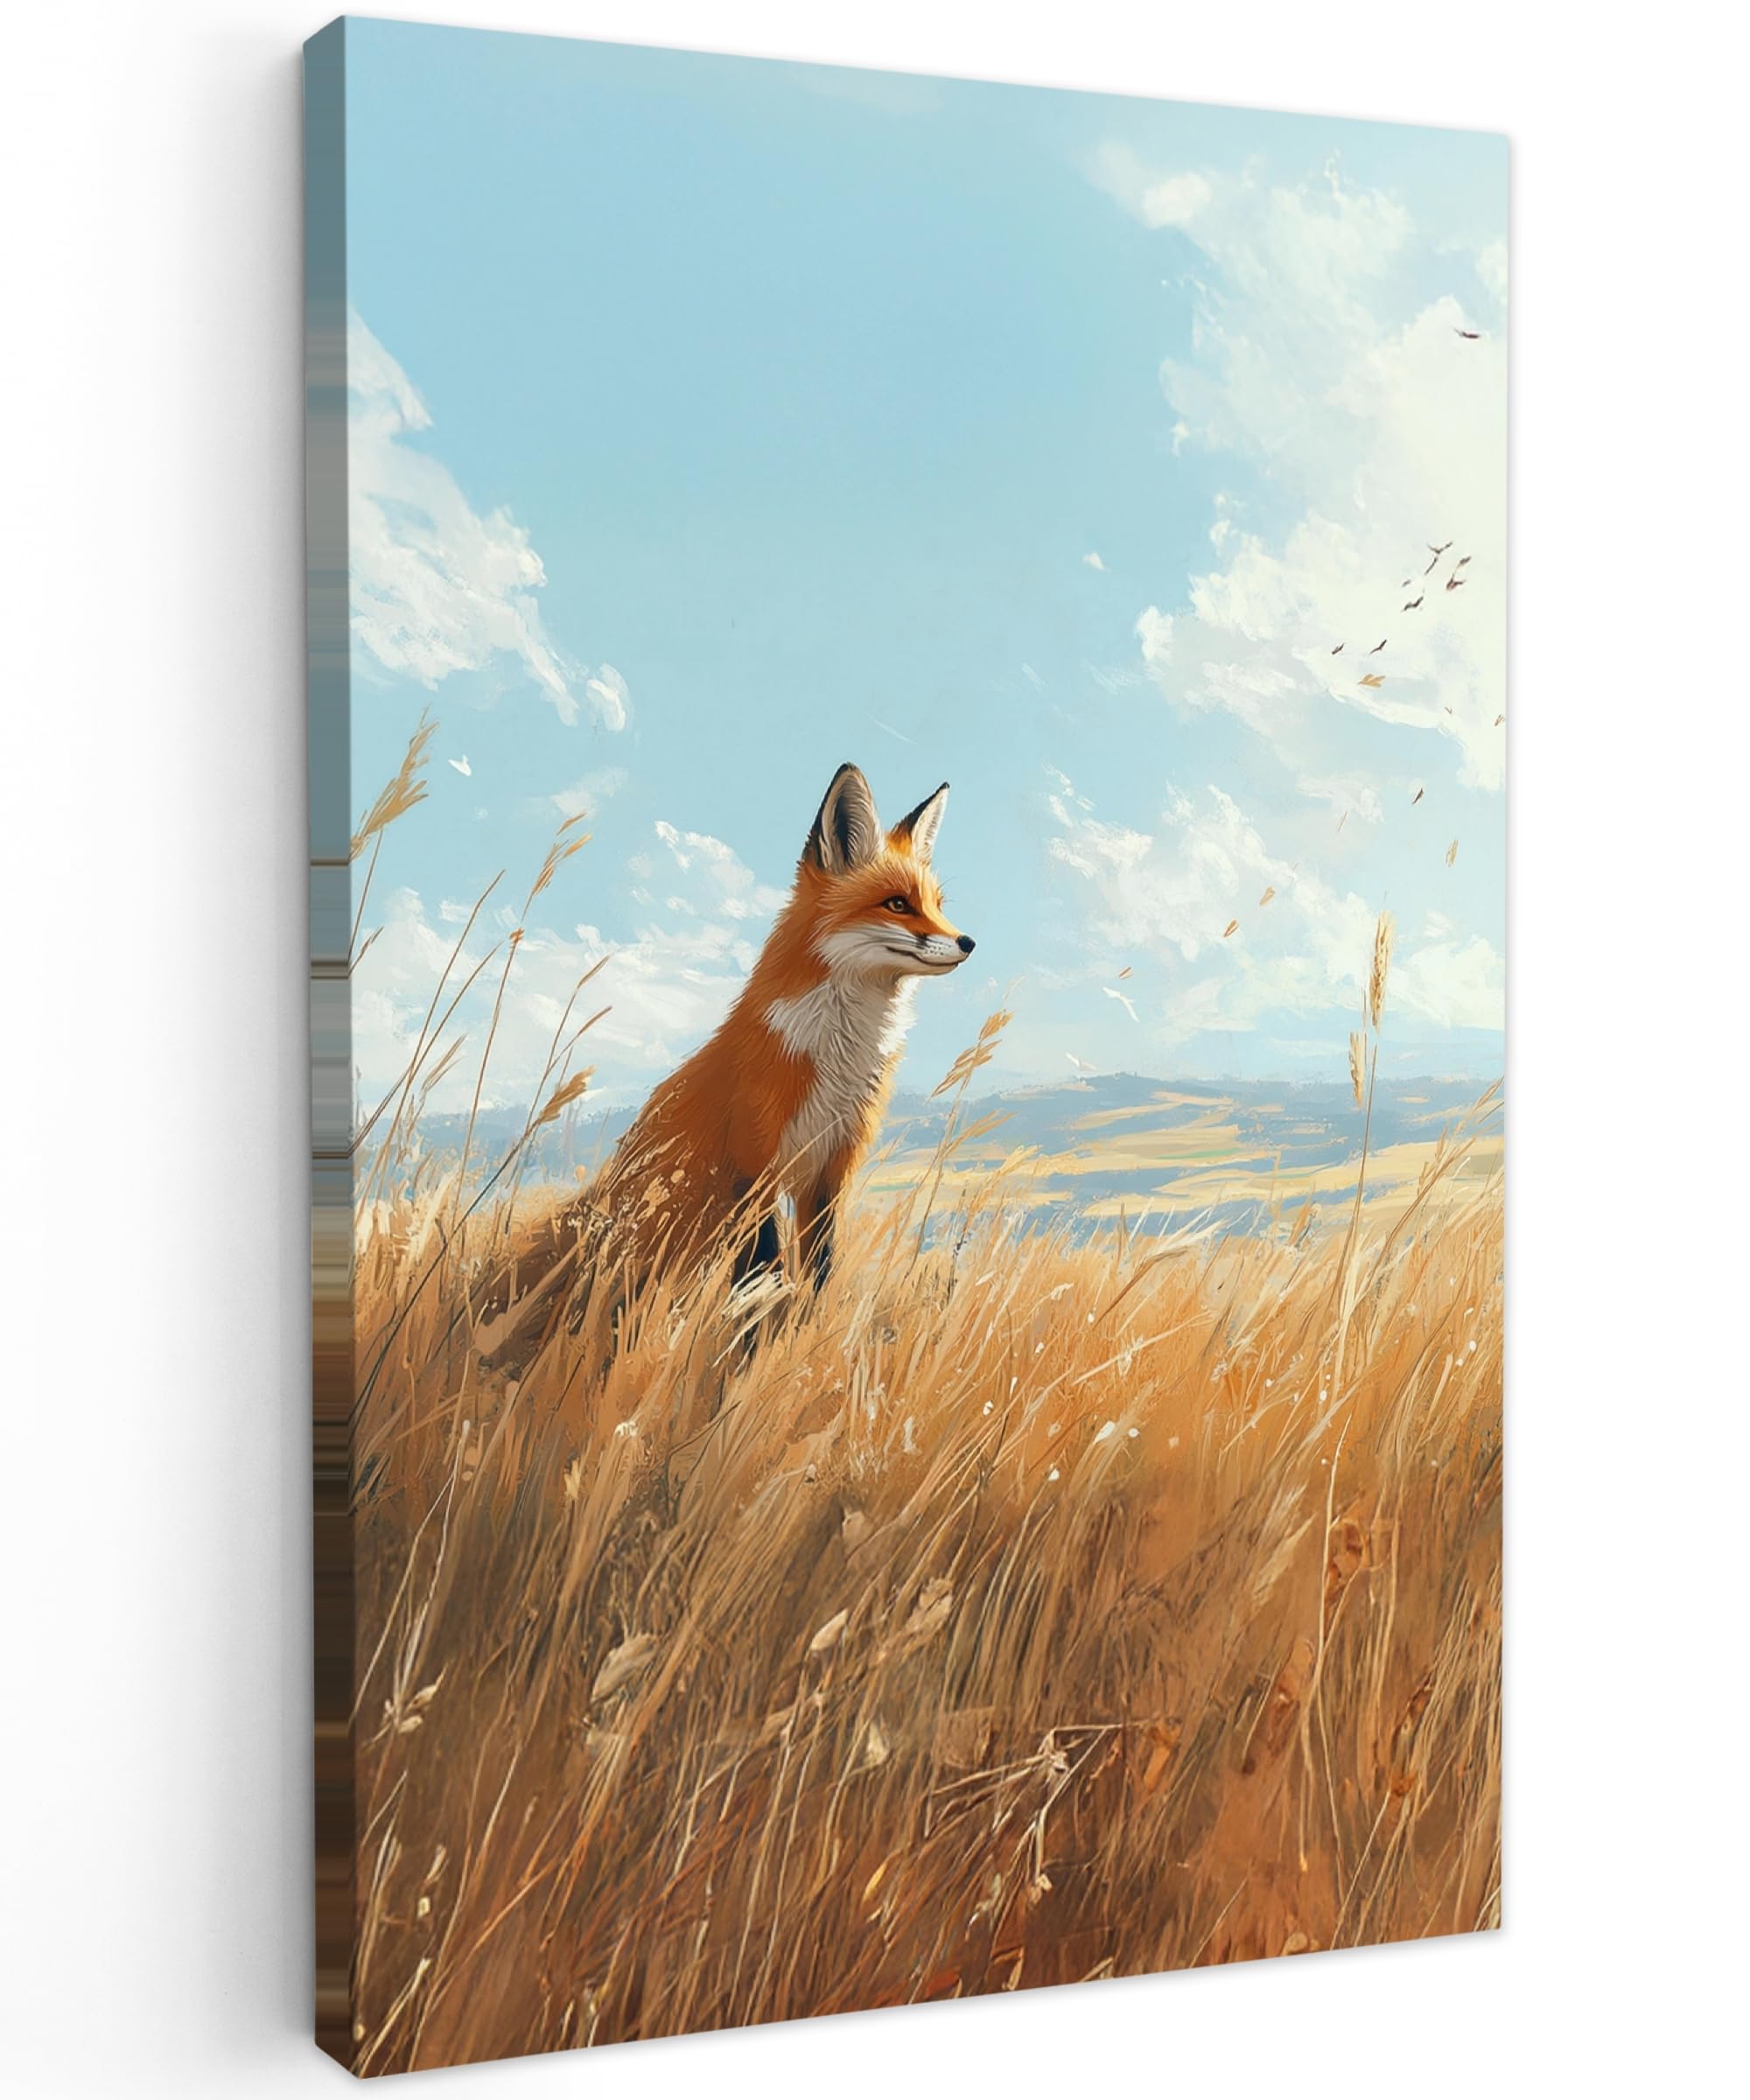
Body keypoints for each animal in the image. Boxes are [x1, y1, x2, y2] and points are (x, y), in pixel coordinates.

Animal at [589, 762, 974, 1294]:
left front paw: (810, 1316)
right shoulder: (754, 1163)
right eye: (897, 904)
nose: (968, 942)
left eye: (938, 904)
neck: (838, 1057)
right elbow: (762, 1268)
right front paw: (758, 1317)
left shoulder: (830, 1167)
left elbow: (819, 1266)